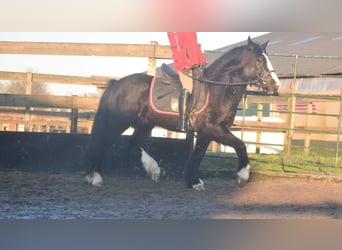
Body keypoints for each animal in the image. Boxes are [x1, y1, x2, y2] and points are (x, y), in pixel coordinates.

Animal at [84, 36, 280, 189]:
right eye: (260, 60)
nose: (276, 85)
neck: (217, 89)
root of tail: (116, 84)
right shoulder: (214, 129)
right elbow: (240, 145)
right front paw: (242, 176)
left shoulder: (206, 133)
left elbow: (198, 155)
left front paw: (193, 181)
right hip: (118, 122)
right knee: (103, 142)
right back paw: (95, 177)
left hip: (144, 124)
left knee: (132, 144)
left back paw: (152, 169)